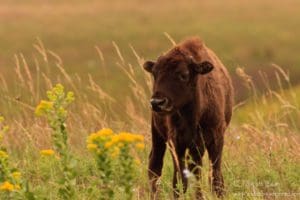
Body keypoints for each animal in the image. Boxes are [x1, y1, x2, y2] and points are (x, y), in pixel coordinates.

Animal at [144, 37, 233, 198]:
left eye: (183, 74)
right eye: (155, 74)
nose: (157, 102)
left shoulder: (214, 139)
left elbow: (214, 174)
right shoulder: (176, 141)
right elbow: (180, 177)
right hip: (157, 133)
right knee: (155, 165)